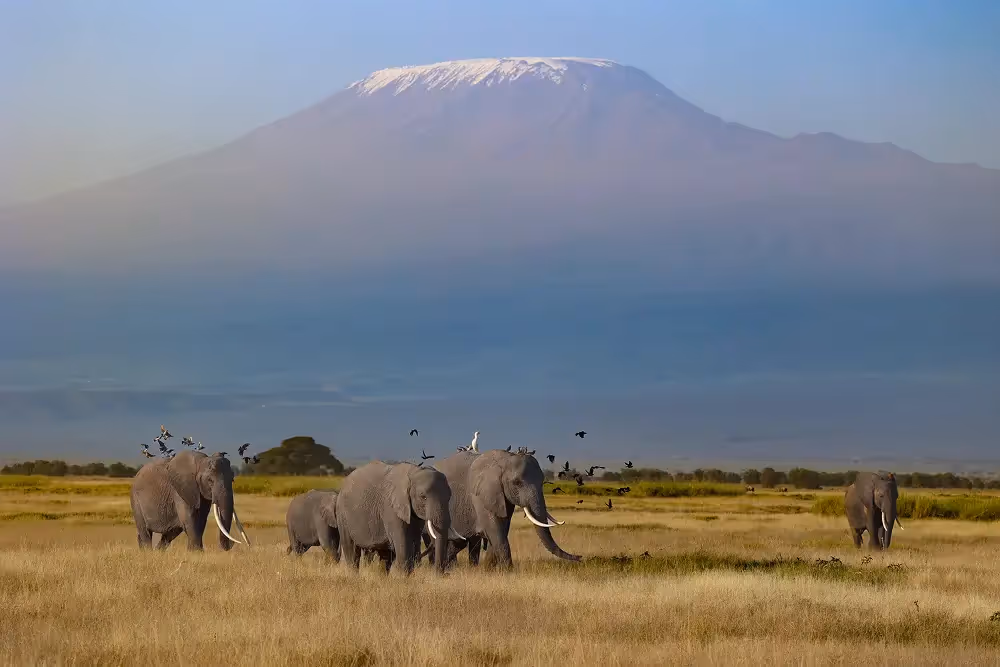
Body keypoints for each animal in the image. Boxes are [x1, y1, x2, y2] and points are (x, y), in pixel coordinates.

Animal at [426, 449, 581, 568]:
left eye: (543, 482)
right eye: (517, 483)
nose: (580, 557)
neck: (506, 459)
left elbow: (502, 529)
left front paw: (490, 570)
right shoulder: (481, 495)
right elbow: (495, 530)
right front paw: (509, 572)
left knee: (459, 543)